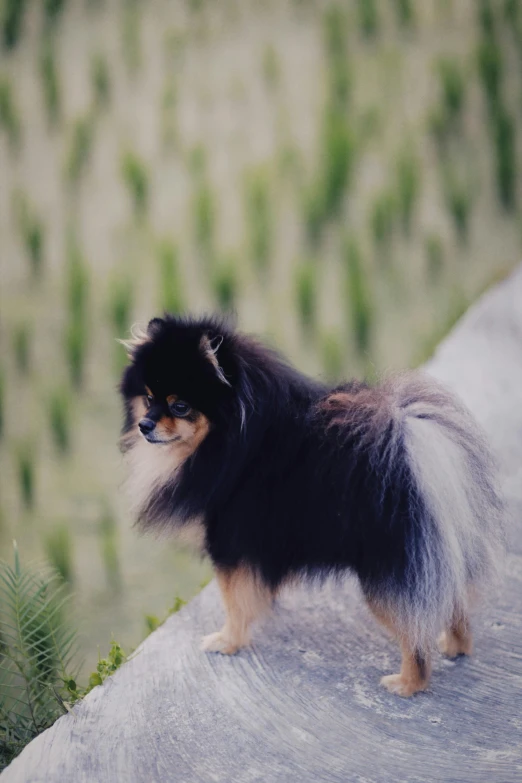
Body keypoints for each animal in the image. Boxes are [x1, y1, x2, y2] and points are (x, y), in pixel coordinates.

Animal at [120, 316, 502, 696]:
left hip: (389, 572)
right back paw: (455, 646)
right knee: (453, 603)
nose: (144, 425)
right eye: (149, 398)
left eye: (180, 406)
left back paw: (407, 683)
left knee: (414, 634)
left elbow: (234, 602)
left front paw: (227, 641)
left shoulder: (228, 544)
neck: (236, 438)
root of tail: (415, 449)